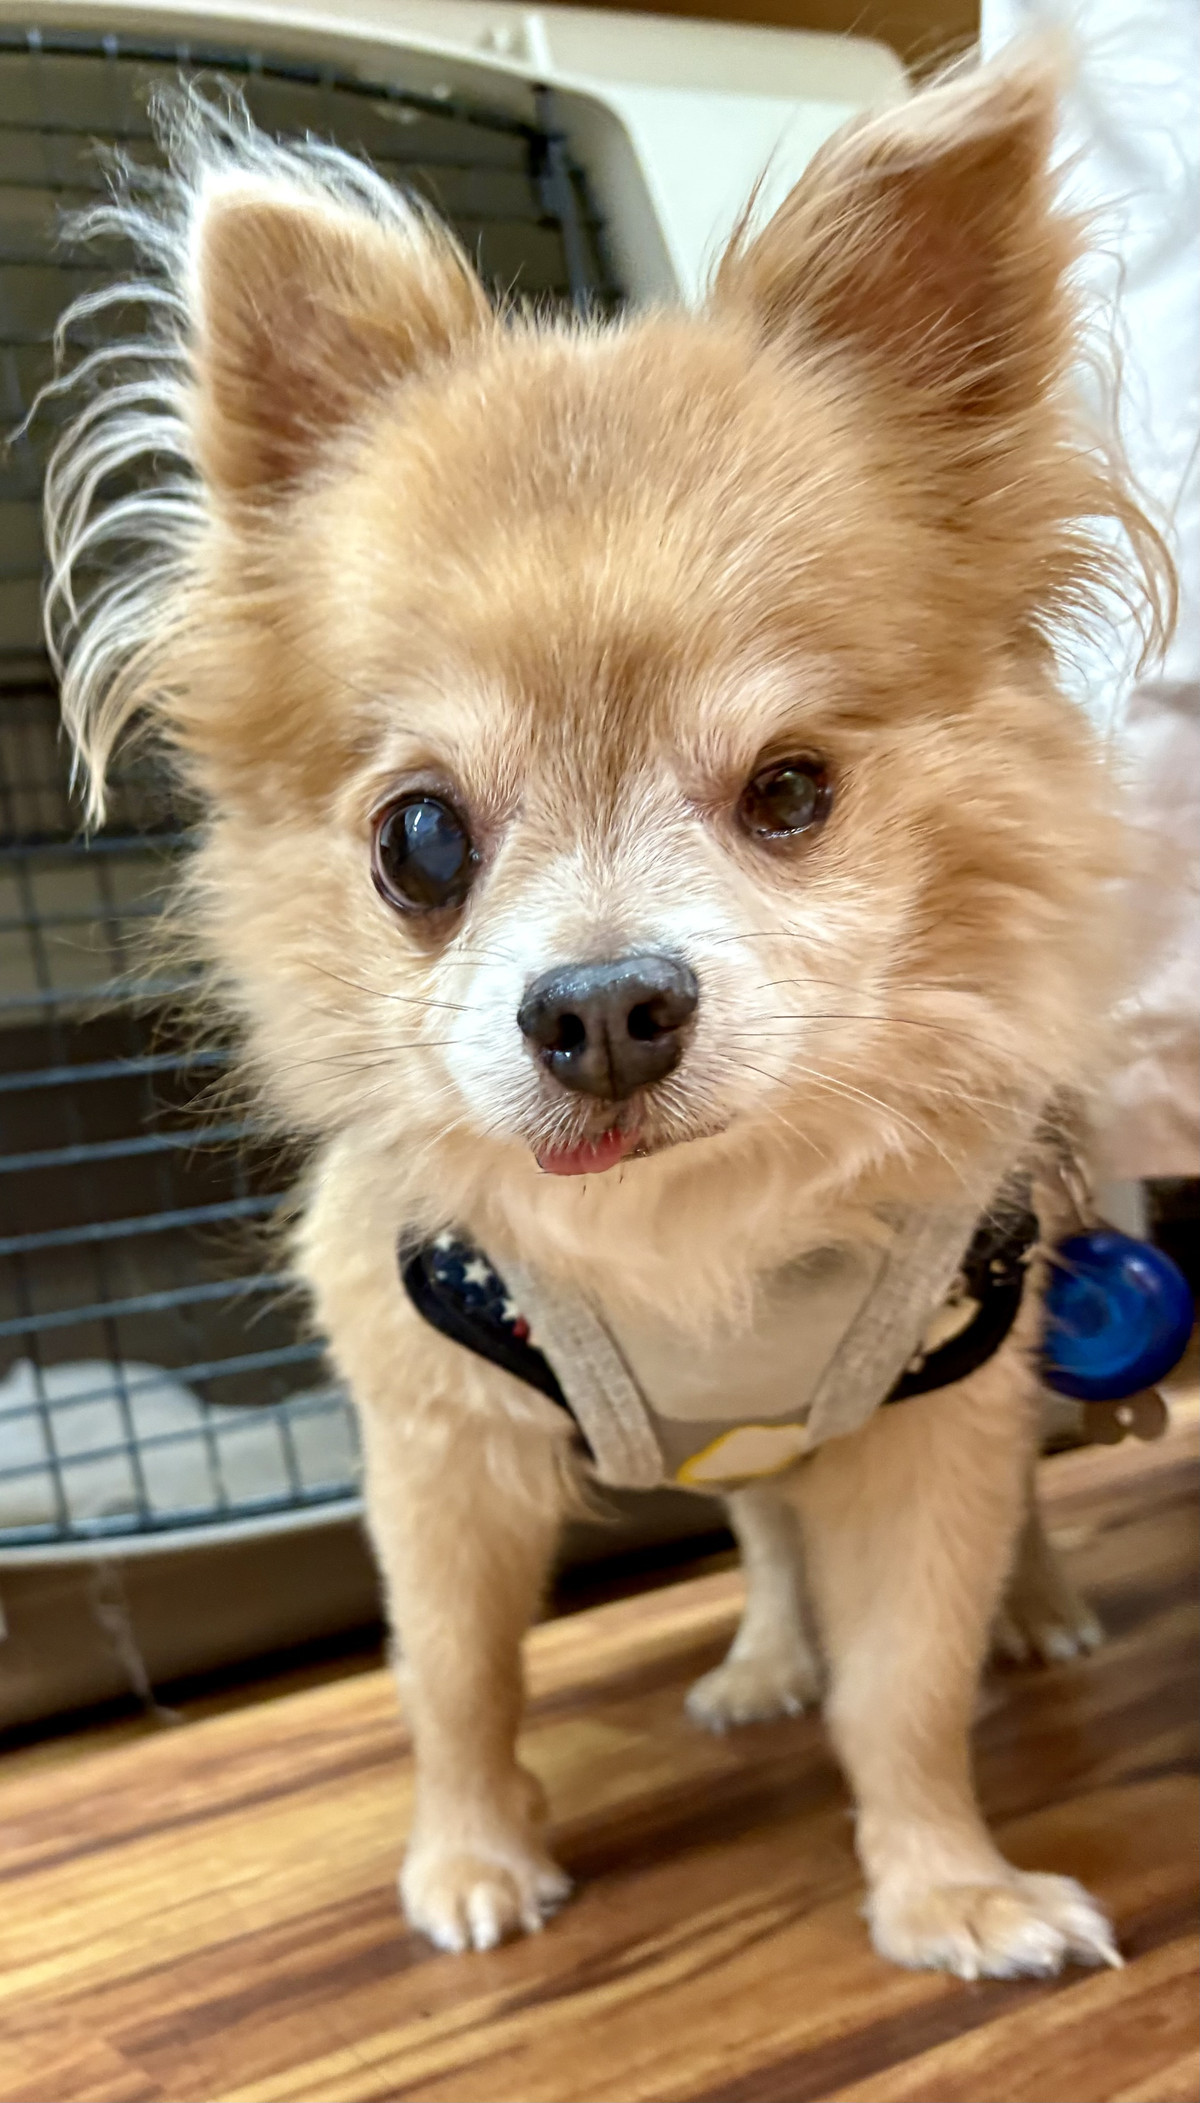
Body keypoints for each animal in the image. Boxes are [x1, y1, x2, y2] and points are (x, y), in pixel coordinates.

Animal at [44, 48, 1169, 1977]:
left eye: (791, 792)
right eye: (418, 839)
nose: (604, 1004)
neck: (682, 1226)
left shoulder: (930, 1422)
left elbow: (909, 1683)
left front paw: (946, 1882)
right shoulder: (438, 1441)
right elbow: (455, 1675)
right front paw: (470, 1854)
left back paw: (1031, 1614)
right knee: (767, 1532)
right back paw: (764, 1657)